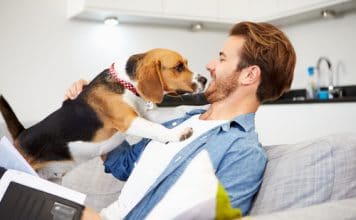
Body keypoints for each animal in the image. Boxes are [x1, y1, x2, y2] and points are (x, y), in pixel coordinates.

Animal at [0, 48, 207, 180]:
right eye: (178, 67)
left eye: (186, 64)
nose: (205, 79)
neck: (126, 84)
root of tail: (21, 134)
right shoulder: (130, 120)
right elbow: (157, 129)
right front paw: (178, 133)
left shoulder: (146, 115)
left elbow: (179, 110)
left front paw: (203, 109)